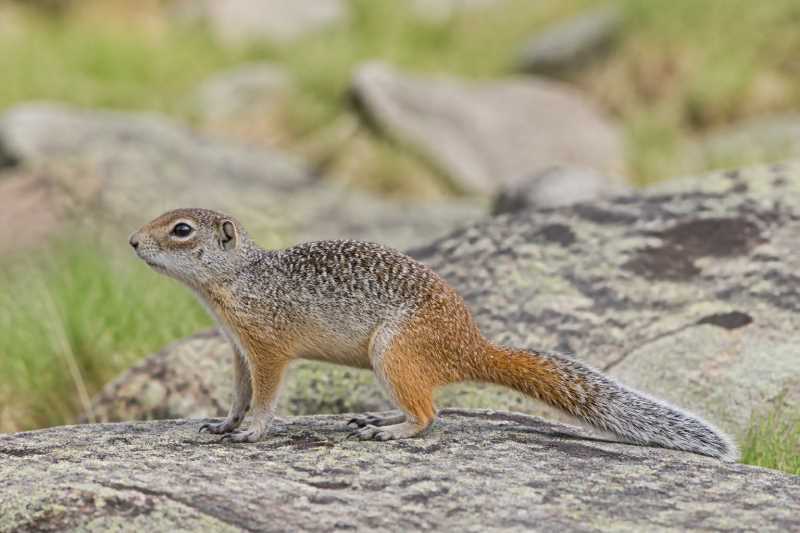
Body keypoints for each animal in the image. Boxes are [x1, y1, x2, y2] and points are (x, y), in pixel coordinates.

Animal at [129, 208, 737, 460]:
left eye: (181, 230)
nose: (133, 241)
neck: (237, 279)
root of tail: (470, 346)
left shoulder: (268, 348)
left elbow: (267, 396)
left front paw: (253, 431)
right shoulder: (238, 351)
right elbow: (238, 395)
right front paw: (223, 423)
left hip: (392, 353)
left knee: (429, 414)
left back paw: (394, 431)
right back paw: (378, 419)